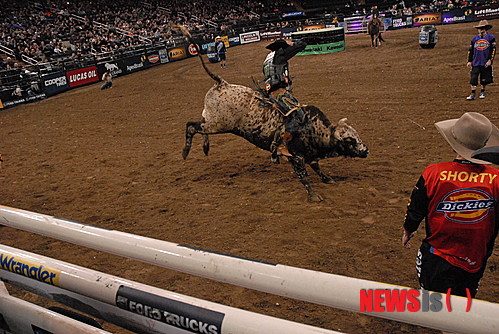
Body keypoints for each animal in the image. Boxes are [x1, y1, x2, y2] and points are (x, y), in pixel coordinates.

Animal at [182, 32, 370, 201]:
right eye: (349, 140)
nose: (365, 150)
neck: (314, 129)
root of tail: (222, 83)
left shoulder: (310, 153)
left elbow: (316, 166)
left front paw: (327, 178)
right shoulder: (295, 156)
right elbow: (303, 175)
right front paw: (313, 195)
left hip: (211, 120)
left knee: (199, 127)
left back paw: (205, 147)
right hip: (219, 124)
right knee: (191, 126)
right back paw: (185, 152)